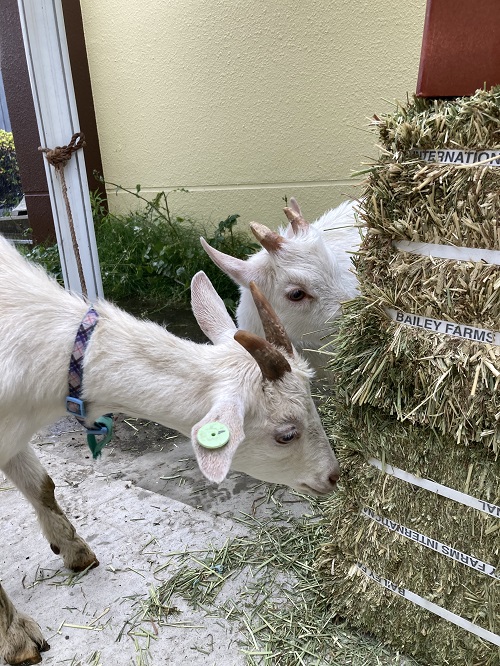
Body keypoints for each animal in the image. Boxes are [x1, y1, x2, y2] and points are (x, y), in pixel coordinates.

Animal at [0, 236, 338, 664]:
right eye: (286, 434)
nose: (334, 475)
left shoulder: (13, 433)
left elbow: (42, 485)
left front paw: (74, 551)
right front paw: (16, 637)